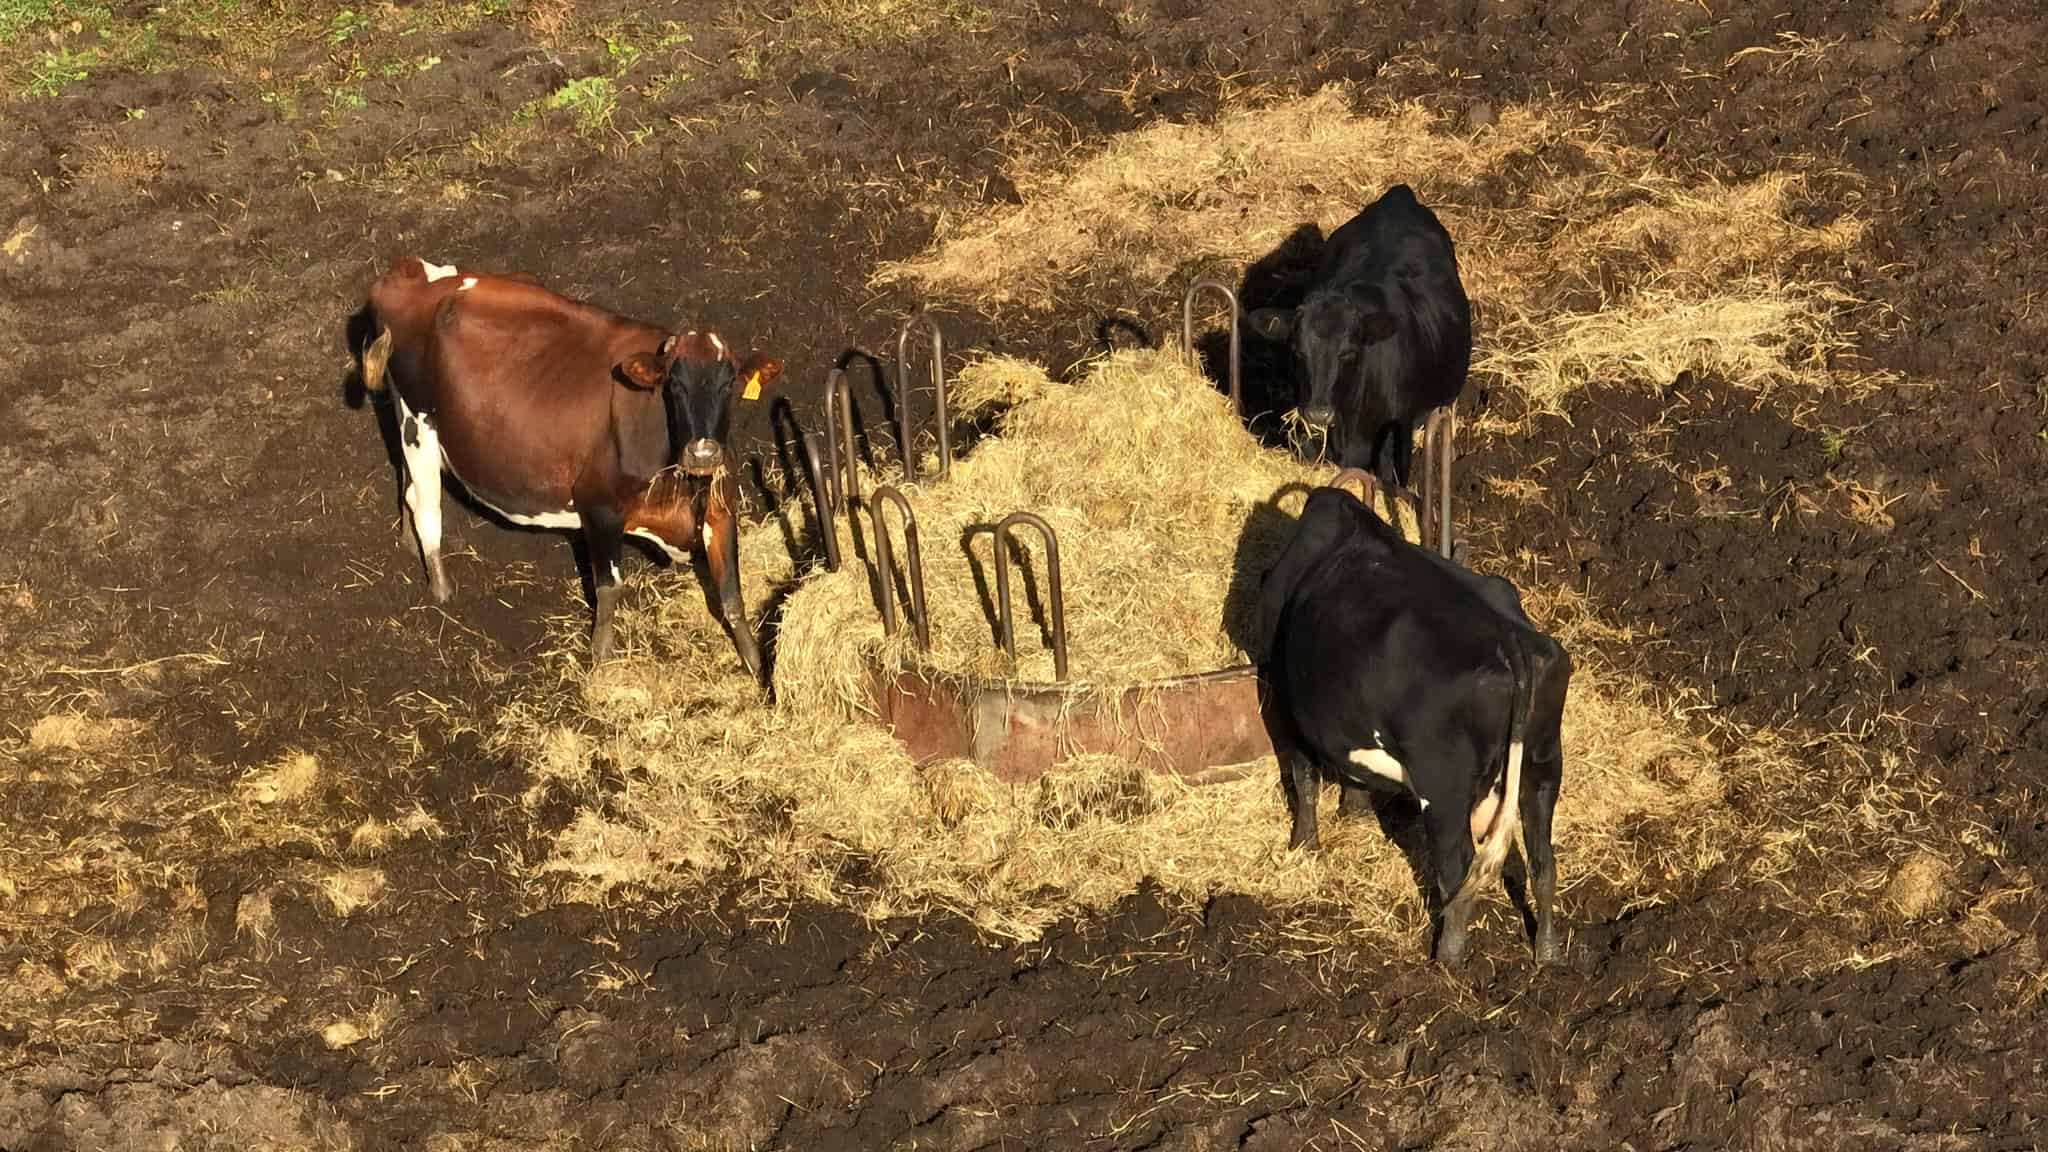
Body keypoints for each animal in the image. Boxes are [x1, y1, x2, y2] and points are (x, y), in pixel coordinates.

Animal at [353, 255, 782, 681]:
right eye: (673, 385)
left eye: (730, 385)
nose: (704, 453)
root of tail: (411, 273)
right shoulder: (600, 508)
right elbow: (610, 589)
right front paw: (602, 661)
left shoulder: (721, 508)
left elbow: (732, 594)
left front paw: (760, 670)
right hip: (419, 420)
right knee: (426, 505)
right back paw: (441, 588)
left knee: (406, 483)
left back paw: (409, 544)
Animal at [1254, 484, 1571, 965]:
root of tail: (1511, 636)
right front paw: (1353, 809)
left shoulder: (1286, 698)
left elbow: (1303, 776)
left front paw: (1303, 845)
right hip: (1543, 763)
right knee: (1542, 860)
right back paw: (1548, 953)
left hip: (1444, 790)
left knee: (1457, 868)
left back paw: (1447, 958)